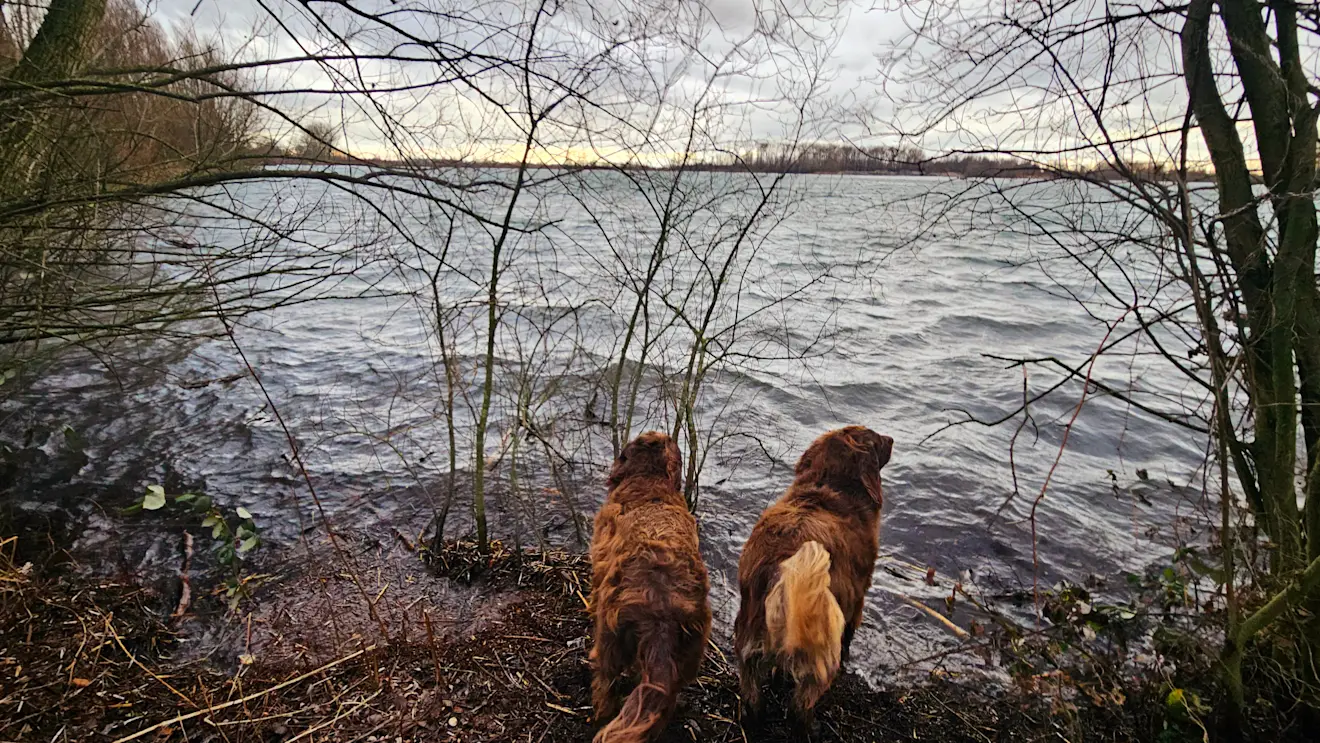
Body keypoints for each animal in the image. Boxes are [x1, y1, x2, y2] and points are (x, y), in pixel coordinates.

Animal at [591, 432, 712, 739]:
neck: (648, 481)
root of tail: (661, 613)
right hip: (691, 649)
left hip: (610, 635)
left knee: (606, 679)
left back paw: (601, 710)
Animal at [739, 427, 892, 728]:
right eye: (876, 439)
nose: (891, 439)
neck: (830, 487)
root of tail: (780, 569)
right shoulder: (858, 597)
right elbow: (849, 635)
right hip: (819, 651)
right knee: (800, 707)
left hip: (750, 642)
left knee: (752, 697)